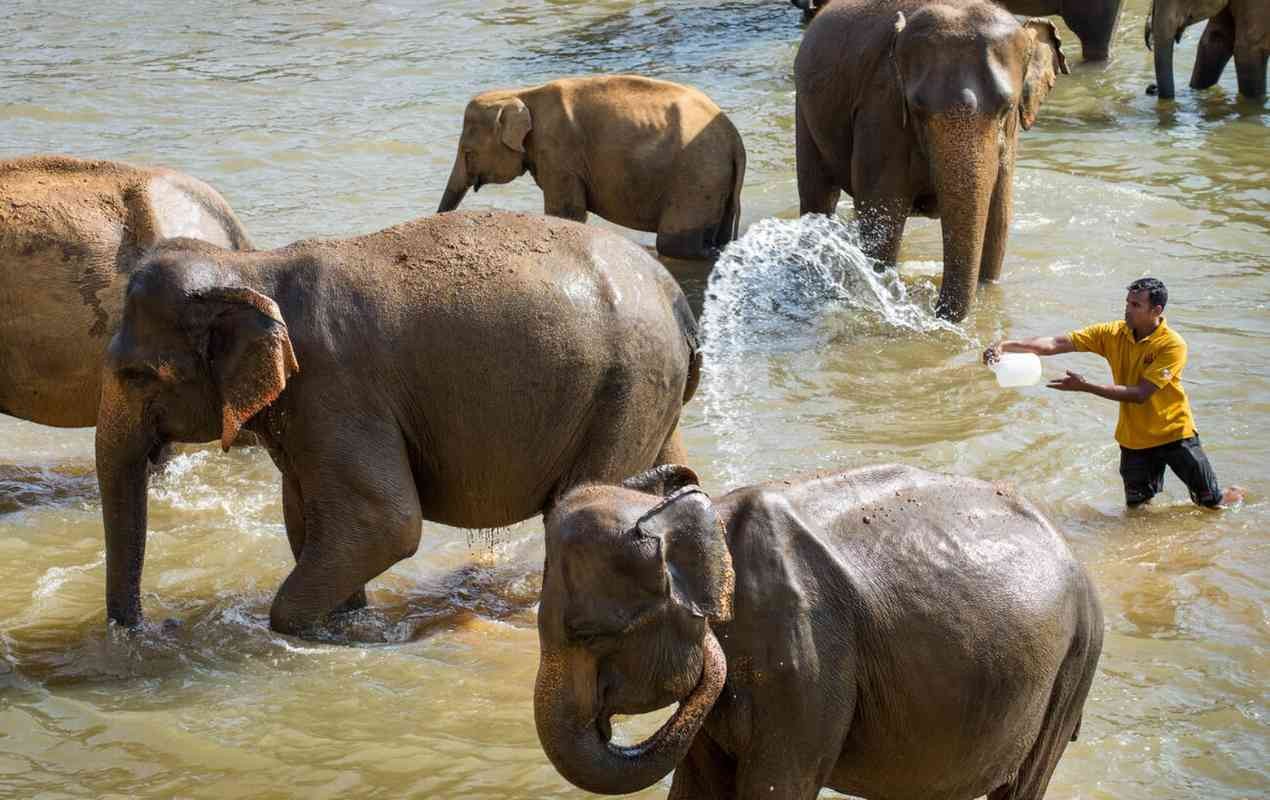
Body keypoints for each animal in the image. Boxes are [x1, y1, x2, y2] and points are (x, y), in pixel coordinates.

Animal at [93, 209, 701, 637]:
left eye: (137, 374)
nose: (159, 625)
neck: (251, 269)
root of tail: (674, 295)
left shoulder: (337, 388)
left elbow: (385, 523)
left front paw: (307, 630)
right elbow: (306, 519)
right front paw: (346, 621)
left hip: (628, 388)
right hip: (648, 394)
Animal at [441, 74, 746, 260]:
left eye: (467, 151)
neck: (522, 93)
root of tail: (735, 139)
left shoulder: (560, 152)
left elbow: (567, 213)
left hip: (697, 177)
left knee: (675, 243)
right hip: (718, 180)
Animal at [533, 464, 1102, 800]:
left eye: (588, 634)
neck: (707, 517)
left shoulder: (804, 655)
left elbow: (778, 786)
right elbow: (697, 788)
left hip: (1075, 665)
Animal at [797, 2, 1066, 322]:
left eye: (1007, 108)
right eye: (917, 109)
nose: (934, 311)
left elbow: (998, 222)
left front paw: (986, 288)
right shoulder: (881, 111)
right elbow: (882, 214)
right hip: (804, 112)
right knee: (818, 195)